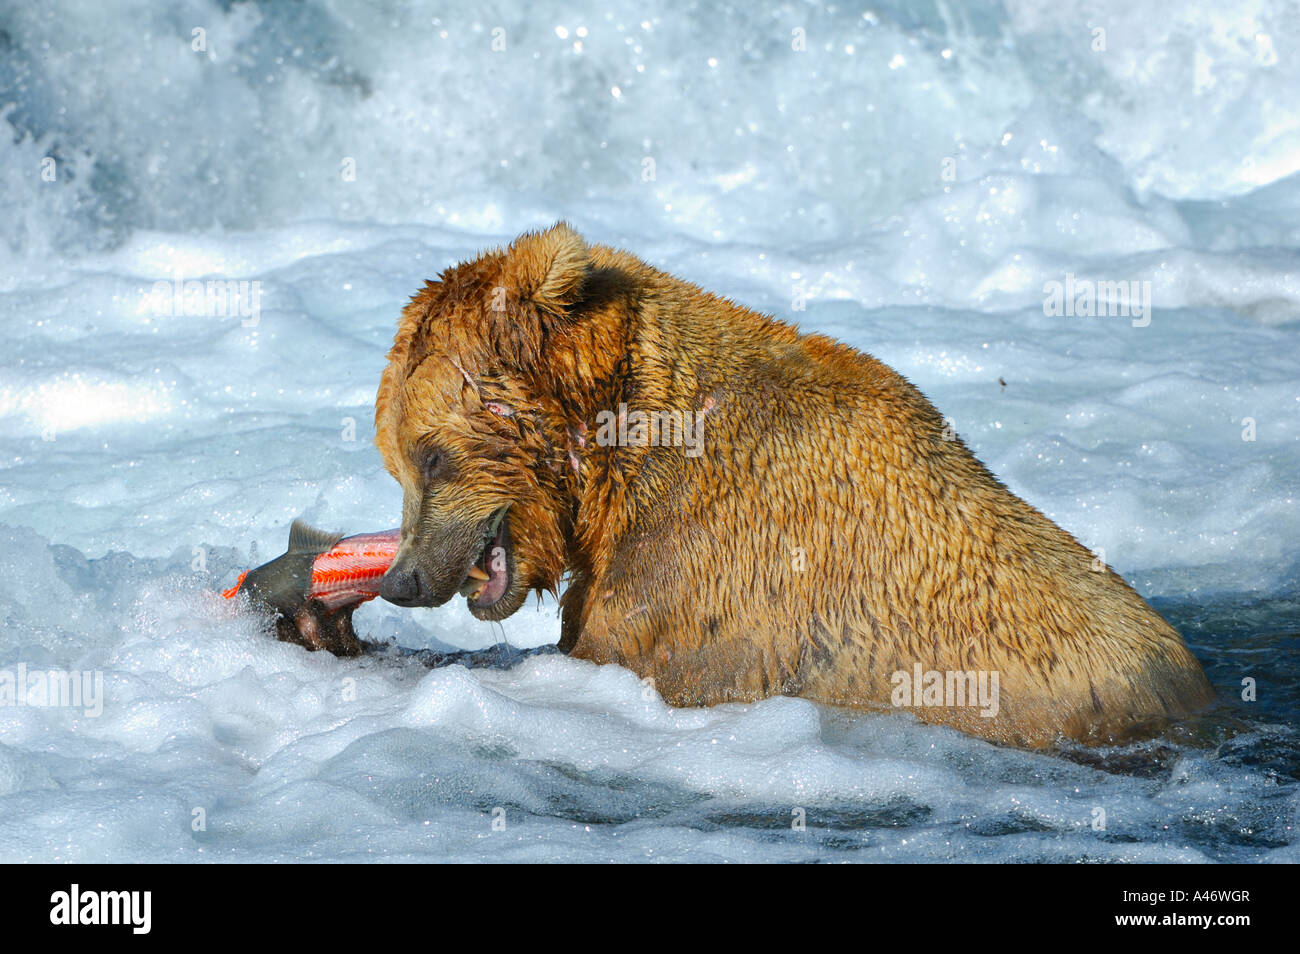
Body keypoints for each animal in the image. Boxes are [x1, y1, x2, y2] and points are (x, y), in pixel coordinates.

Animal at [371, 222, 1211, 748]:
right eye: (395, 460)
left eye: (431, 455)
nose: (401, 578)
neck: (624, 463)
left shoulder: (706, 585)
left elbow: (593, 661)